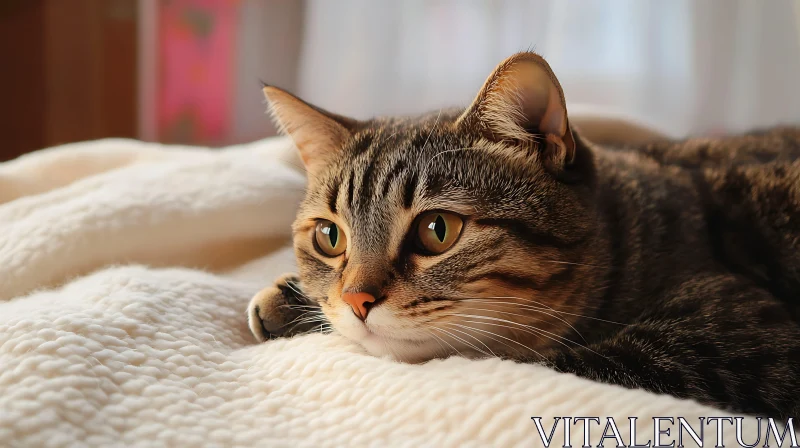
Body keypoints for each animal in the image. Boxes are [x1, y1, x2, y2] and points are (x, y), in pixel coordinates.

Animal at [247, 52, 800, 420]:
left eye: (437, 231)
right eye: (329, 237)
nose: (356, 299)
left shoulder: (742, 344)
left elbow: (545, 362)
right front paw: (289, 299)